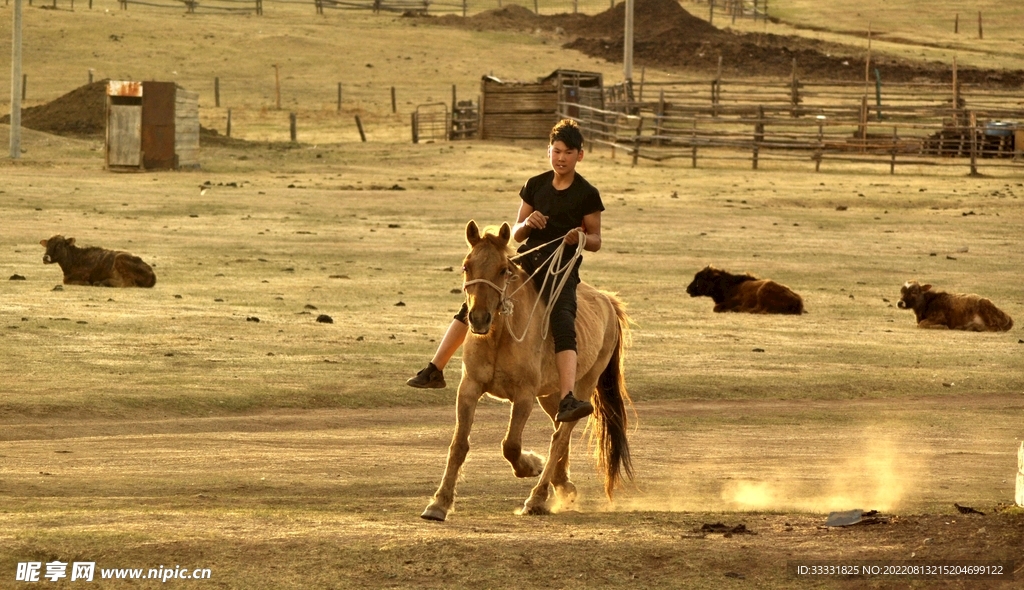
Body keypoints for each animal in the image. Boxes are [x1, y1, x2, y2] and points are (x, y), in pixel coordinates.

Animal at [421, 221, 633, 521]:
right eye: (466, 266)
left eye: (503, 270)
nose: (478, 318)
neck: (499, 336)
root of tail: (607, 301)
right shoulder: (469, 388)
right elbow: (459, 444)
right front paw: (439, 503)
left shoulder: (524, 396)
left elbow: (510, 445)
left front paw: (530, 465)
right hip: (553, 395)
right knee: (559, 430)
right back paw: (562, 485)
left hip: (582, 385)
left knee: (560, 436)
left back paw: (537, 497)